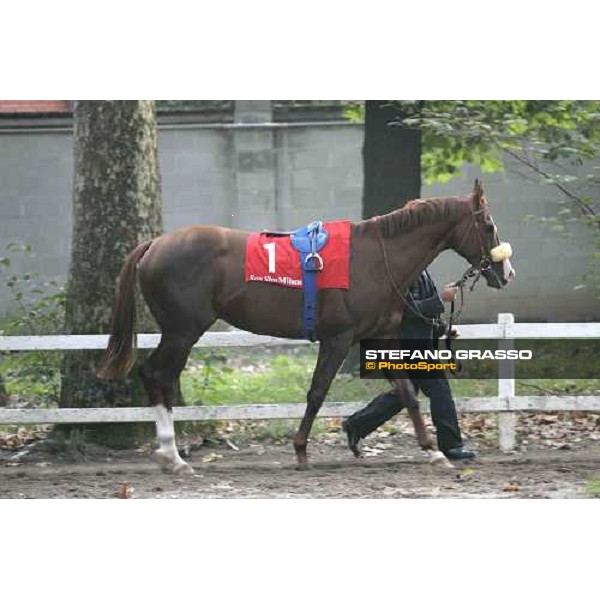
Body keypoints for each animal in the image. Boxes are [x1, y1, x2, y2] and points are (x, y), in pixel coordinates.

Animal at [98, 179, 516, 474]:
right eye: (489, 226)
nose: (506, 272)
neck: (372, 259)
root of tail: (154, 244)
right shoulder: (337, 338)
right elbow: (317, 392)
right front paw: (300, 449)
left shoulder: (379, 335)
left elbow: (407, 393)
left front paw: (433, 452)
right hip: (183, 331)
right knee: (158, 375)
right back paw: (173, 457)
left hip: (179, 331)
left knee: (157, 376)